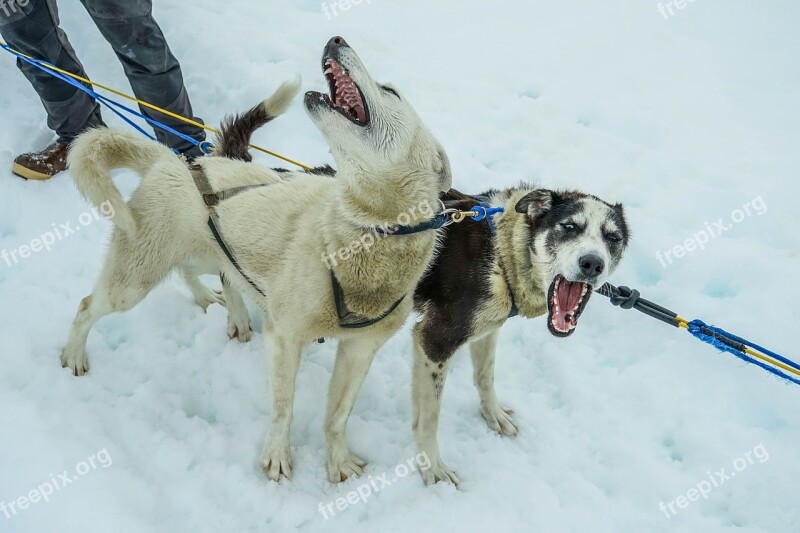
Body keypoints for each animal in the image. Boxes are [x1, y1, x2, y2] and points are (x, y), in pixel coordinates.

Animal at [412, 185, 632, 484]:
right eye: (569, 226)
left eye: (613, 237)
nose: (592, 263)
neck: (502, 256)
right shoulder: (434, 342)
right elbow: (429, 418)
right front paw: (432, 468)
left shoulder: (488, 328)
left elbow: (485, 376)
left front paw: (493, 414)